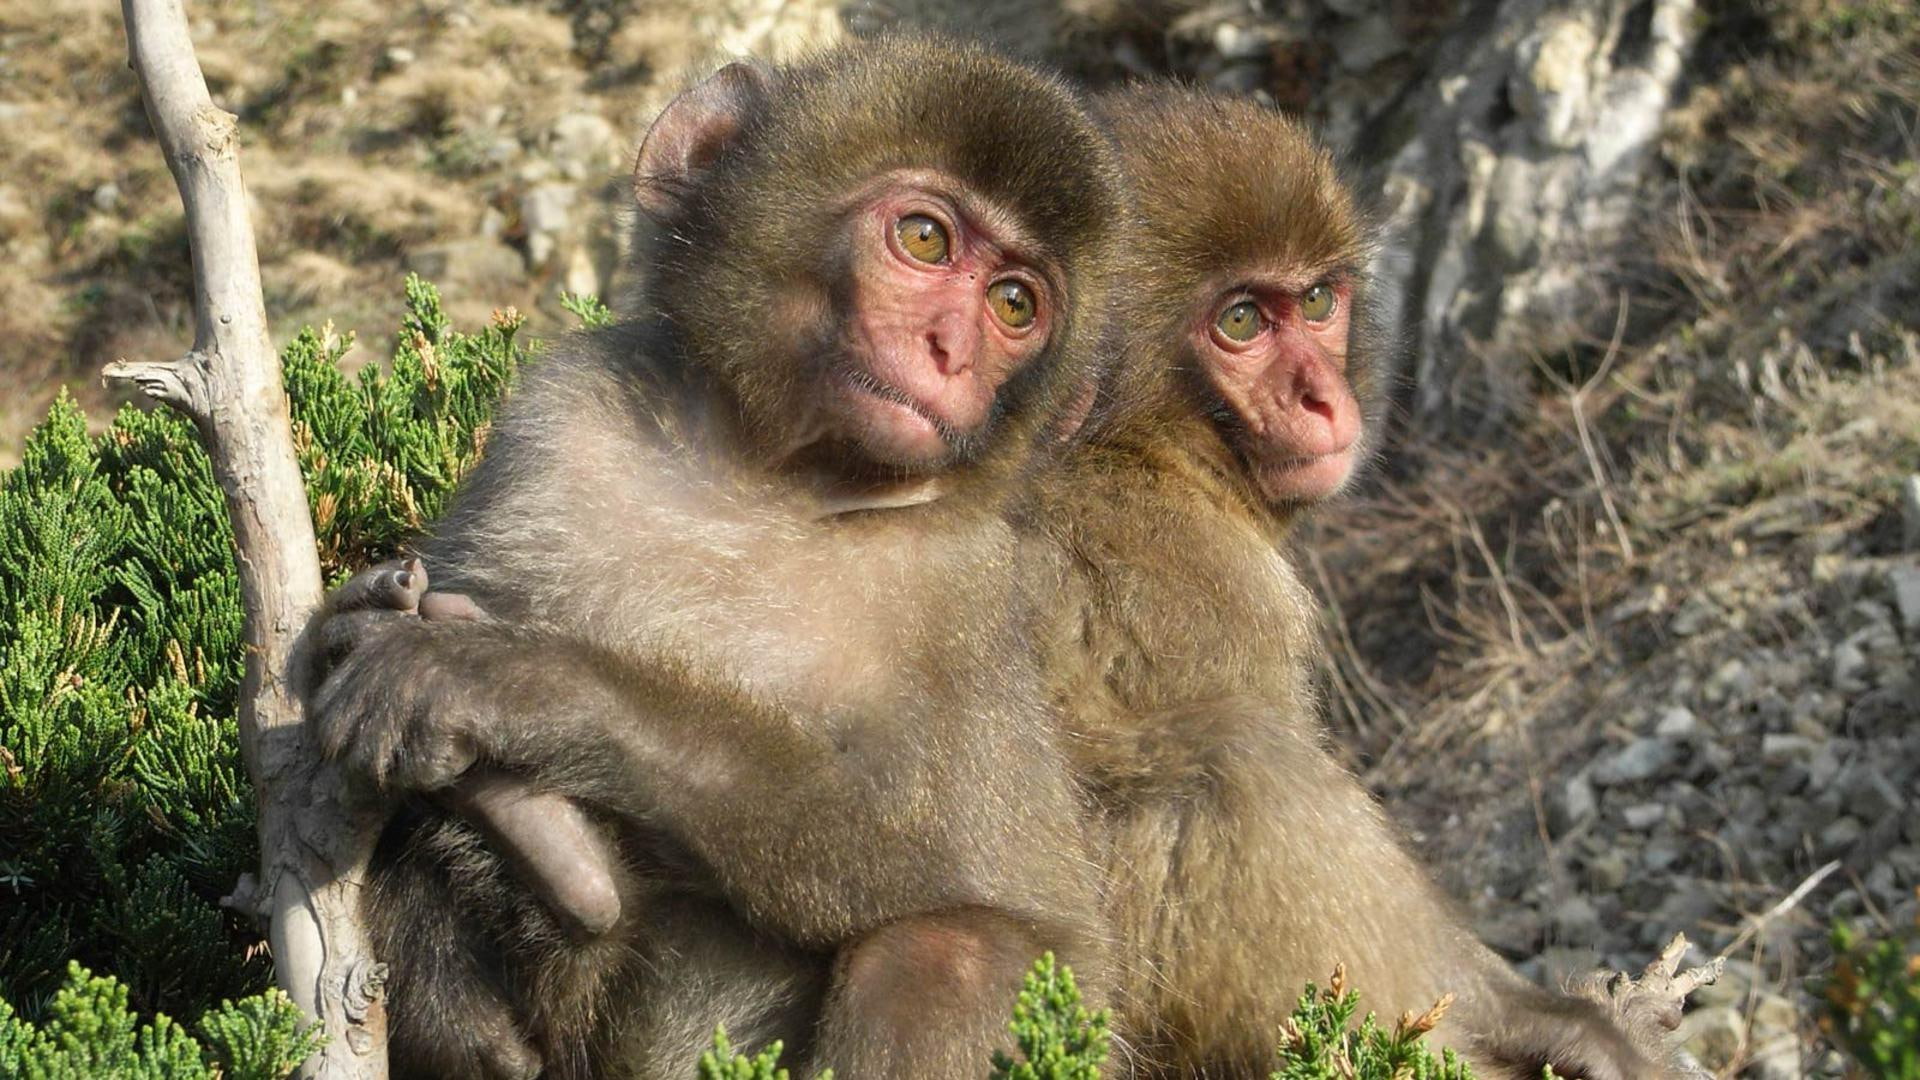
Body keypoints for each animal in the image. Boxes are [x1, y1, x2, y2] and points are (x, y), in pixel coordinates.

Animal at [303, 39, 1129, 1080]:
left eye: (1015, 305)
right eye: (927, 239)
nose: (949, 350)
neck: (771, 480)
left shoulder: (966, 587)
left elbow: (933, 855)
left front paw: (513, 682)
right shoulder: (559, 422)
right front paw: (352, 619)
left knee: (948, 950)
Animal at [1014, 83, 1697, 1079]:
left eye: (1317, 301)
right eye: (1241, 322)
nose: (1324, 401)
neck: (1134, 446)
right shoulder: (1198, 581)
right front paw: (1540, 1019)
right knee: (1228, 767)